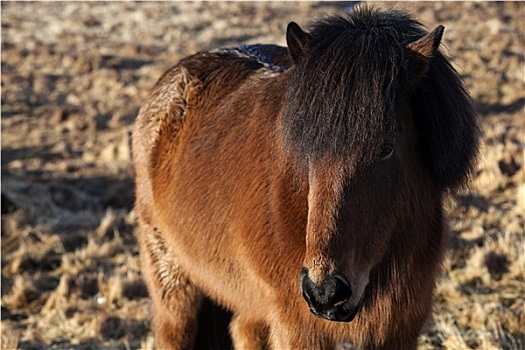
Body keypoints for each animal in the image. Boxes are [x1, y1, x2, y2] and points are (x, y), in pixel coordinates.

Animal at [132, 6, 478, 350]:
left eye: (387, 146)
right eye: (306, 145)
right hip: (174, 291)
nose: (325, 293)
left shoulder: (400, 329)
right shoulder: (298, 330)